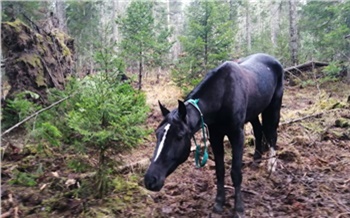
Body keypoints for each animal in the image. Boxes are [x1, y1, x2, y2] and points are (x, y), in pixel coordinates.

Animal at [144, 52, 284, 216]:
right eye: (157, 134)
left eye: (179, 136)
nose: (150, 180)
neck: (222, 95)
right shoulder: (216, 137)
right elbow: (220, 170)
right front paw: (218, 204)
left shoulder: (237, 135)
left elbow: (236, 172)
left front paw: (239, 208)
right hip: (253, 111)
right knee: (258, 130)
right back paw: (256, 160)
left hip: (274, 106)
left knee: (271, 133)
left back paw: (271, 166)